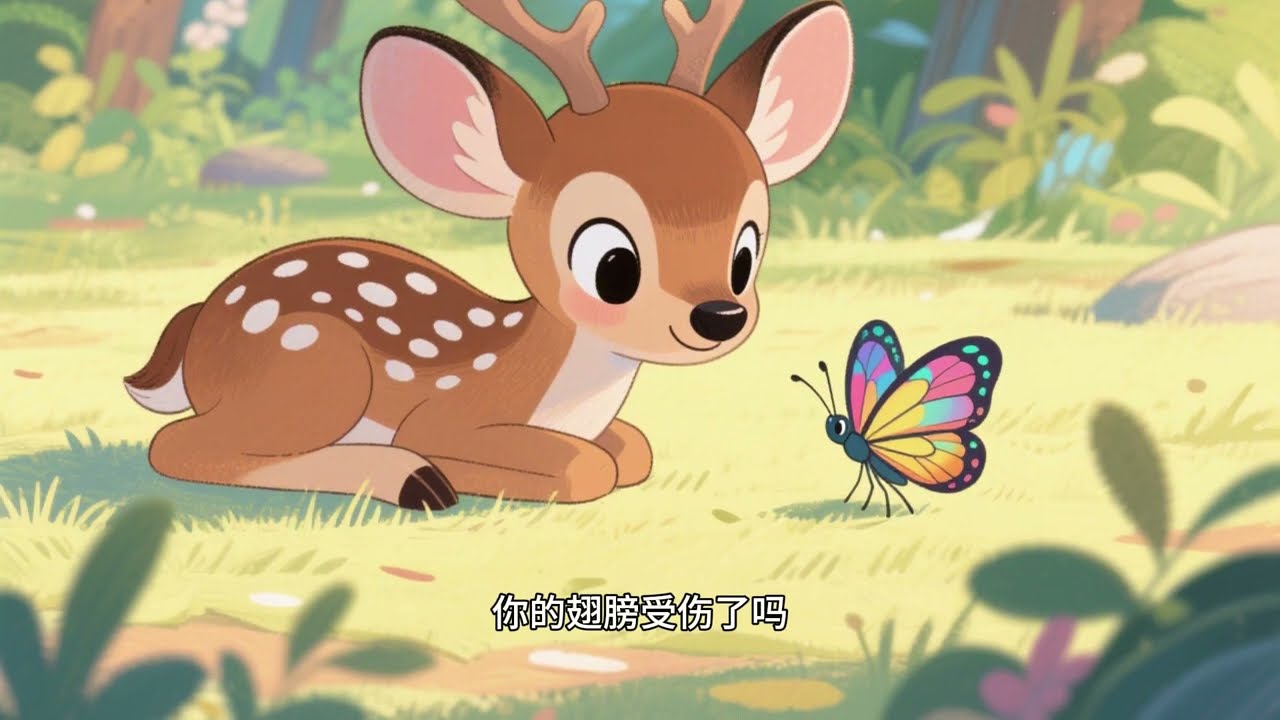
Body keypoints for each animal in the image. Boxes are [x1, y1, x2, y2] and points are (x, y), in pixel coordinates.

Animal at [122, 0, 854, 512]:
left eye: (746, 250)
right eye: (612, 265)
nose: (719, 317)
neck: (561, 396)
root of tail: (202, 324)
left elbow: (634, 450)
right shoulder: (443, 417)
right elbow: (588, 467)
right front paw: (462, 472)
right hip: (315, 363)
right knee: (178, 446)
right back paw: (414, 480)